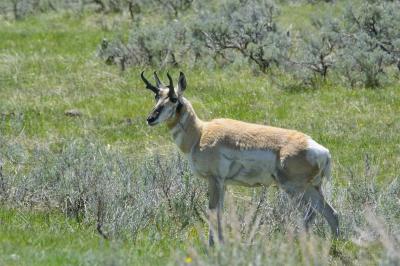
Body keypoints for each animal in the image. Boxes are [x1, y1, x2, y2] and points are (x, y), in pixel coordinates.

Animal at [140, 71, 338, 245]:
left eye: (174, 98)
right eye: (156, 96)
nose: (150, 118)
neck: (200, 133)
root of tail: (322, 151)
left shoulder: (215, 180)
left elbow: (214, 213)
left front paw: (213, 246)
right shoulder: (223, 183)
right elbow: (220, 212)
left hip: (294, 189)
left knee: (309, 214)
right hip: (312, 188)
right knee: (331, 213)